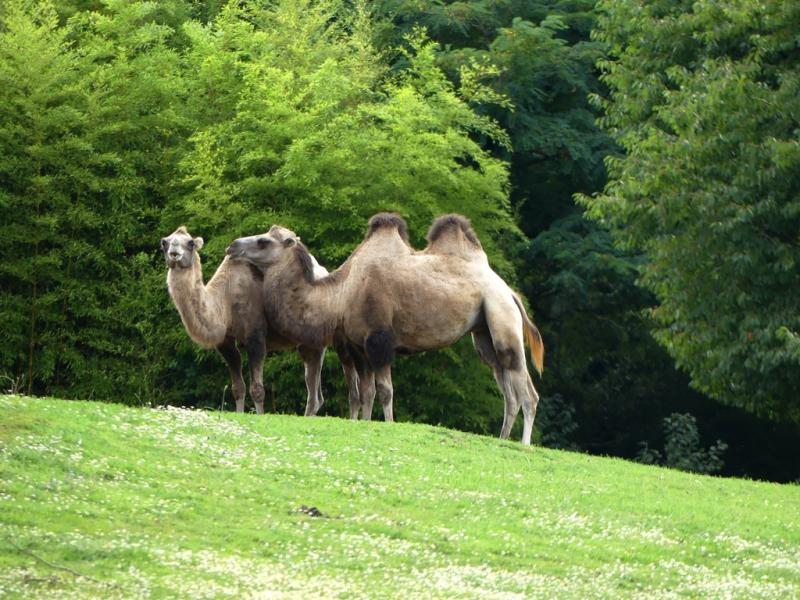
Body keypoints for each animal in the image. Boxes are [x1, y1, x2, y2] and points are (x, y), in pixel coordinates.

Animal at [161, 226, 336, 415]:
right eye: (164, 242)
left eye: (190, 243)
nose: (174, 252)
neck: (226, 298)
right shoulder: (225, 341)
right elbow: (238, 387)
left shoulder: (255, 336)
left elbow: (257, 389)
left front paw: (260, 416)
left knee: (314, 393)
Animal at [225, 213, 544, 444]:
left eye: (264, 241)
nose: (232, 246)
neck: (340, 295)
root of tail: (510, 291)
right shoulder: (359, 347)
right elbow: (367, 391)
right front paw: (365, 422)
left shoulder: (379, 340)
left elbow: (385, 390)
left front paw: (389, 424)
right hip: (483, 330)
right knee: (506, 384)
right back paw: (503, 439)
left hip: (501, 315)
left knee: (525, 388)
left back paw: (524, 444)